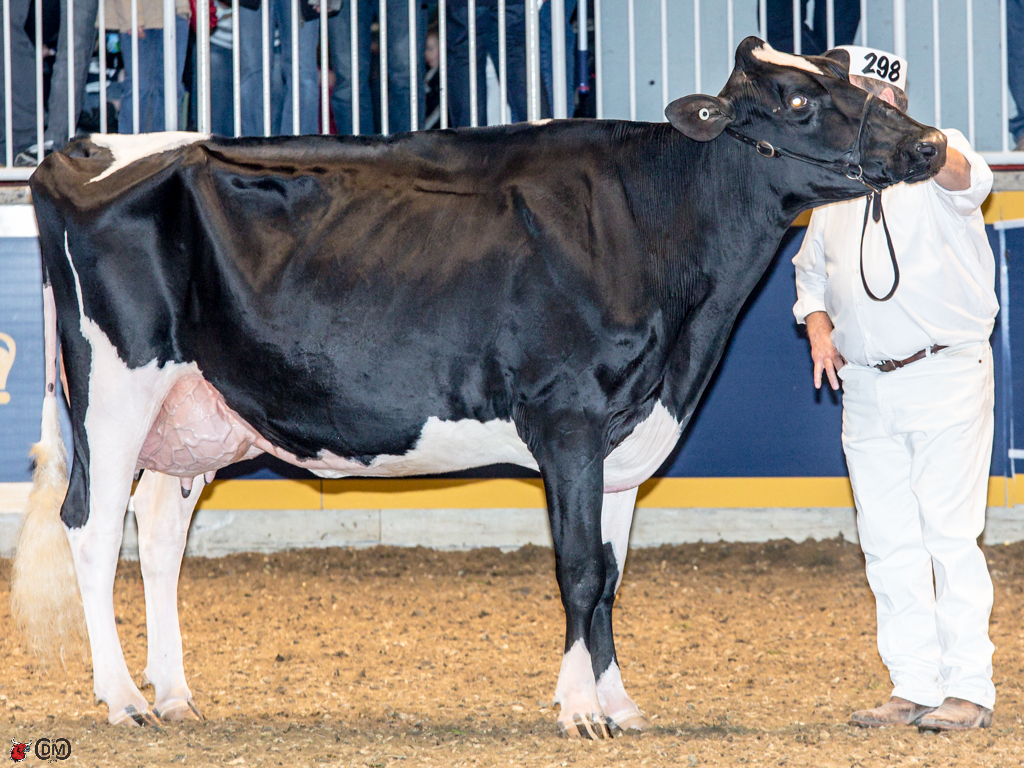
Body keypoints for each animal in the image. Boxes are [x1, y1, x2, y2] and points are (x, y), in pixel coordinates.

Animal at [13, 38, 944, 738]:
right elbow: (578, 569)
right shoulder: (568, 416)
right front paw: (580, 711)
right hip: (114, 387)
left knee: (159, 530)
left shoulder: (624, 437)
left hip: (194, 410)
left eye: (852, 78)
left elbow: (611, 575)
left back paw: (174, 695)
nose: (930, 144)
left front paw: (617, 702)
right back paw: (124, 700)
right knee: (91, 527)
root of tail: (85, 150)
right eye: (799, 100)